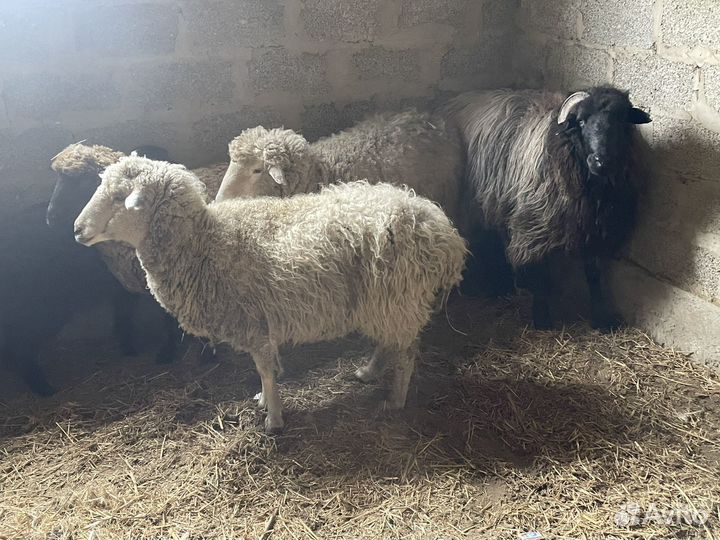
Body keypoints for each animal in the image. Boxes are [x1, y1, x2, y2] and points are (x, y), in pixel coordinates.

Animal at [47, 142, 227, 367]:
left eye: (83, 180)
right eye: (57, 180)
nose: (50, 217)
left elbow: (168, 321)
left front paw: (167, 352)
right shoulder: (123, 282)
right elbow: (124, 313)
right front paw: (127, 346)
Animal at [74, 156, 467, 432]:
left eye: (120, 198)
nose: (77, 229)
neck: (205, 241)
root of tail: (440, 229)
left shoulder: (254, 324)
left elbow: (265, 369)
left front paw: (273, 418)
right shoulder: (257, 323)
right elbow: (264, 371)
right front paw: (265, 402)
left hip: (399, 296)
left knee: (406, 352)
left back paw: (395, 399)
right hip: (387, 302)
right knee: (390, 341)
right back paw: (368, 372)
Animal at [443, 86, 651, 331]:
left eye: (620, 120)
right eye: (581, 121)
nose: (601, 162)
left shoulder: (593, 229)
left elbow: (593, 274)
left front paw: (601, 317)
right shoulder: (535, 224)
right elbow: (542, 272)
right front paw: (542, 317)